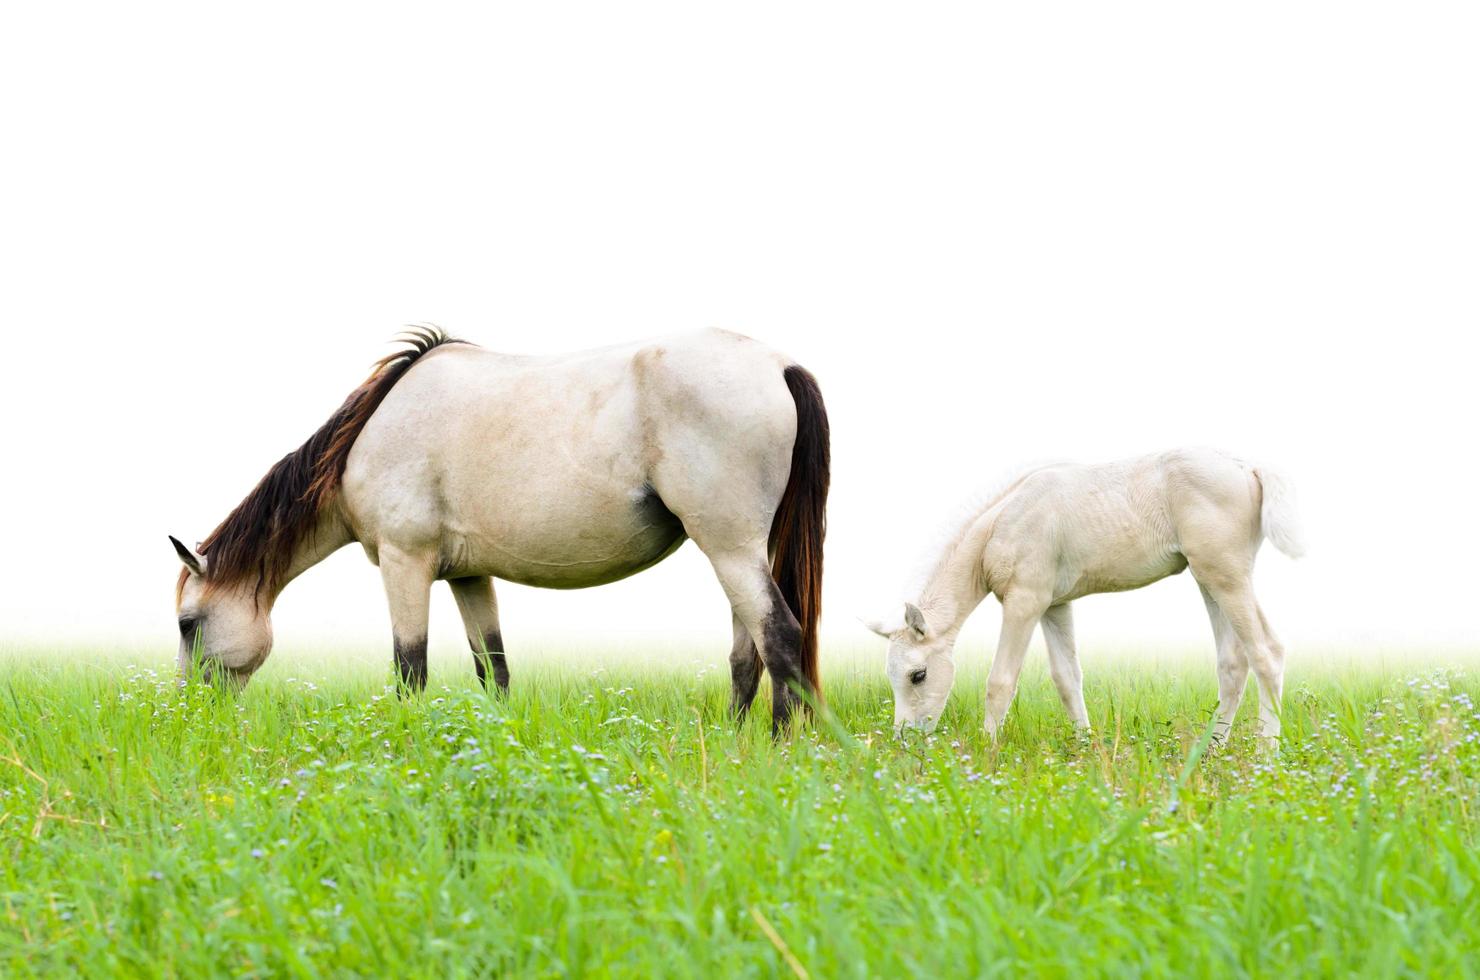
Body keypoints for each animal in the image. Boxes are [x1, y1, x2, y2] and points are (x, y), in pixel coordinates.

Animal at [173, 325, 828, 734]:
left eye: (187, 624)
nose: (190, 712)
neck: (371, 434)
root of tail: (780, 366)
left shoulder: (405, 563)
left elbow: (410, 671)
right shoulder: (467, 576)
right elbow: (494, 670)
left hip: (730, 547)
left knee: (780, 637)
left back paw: (775, 749)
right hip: (735, 551)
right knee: (746, 654)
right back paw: (733, 742)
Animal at [864, 450, 1308, 746]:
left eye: (918, 675)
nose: (904, 738)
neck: (1001, 524)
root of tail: (1247, 468)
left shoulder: (1024, 602)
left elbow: (1000, 681)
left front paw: (986, 753)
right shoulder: (1053, 605)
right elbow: (1067, 678)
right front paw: (1083, 748)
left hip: (1227, 576)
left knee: (1267, 652)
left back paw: (1266, 754)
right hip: (1209, 578)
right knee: (1233, 663)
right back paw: (1210, 751)